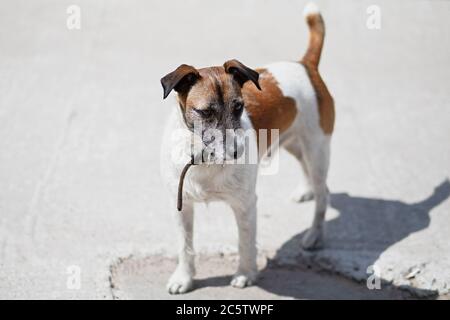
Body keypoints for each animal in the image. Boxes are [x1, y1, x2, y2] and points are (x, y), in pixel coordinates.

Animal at [160, 2, 332, 294]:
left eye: (239, 107)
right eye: (205, 112)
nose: (237, 151)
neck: (206, 159)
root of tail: (305, 65)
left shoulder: (245, 205)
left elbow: (245, 242)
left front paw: (246, 274)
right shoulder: (182, 206)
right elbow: (185, 246)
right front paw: (184, 278)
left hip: (318, 148)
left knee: (323, 194)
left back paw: (315, 234)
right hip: (295, 143)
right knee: (304, 166)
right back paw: (305, 191)